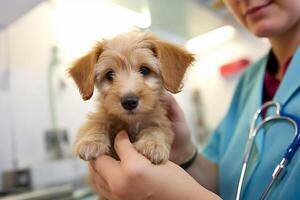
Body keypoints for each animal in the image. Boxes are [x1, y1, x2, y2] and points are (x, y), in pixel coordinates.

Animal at [69, 31, 193, 165]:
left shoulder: (160, 120)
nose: (129, 102)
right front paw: (91, 142)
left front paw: (153, 144)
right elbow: (95, 123)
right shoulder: (102, 115)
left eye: (144, 70)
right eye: (110, 74)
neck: (131, 122)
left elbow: (155, 128)